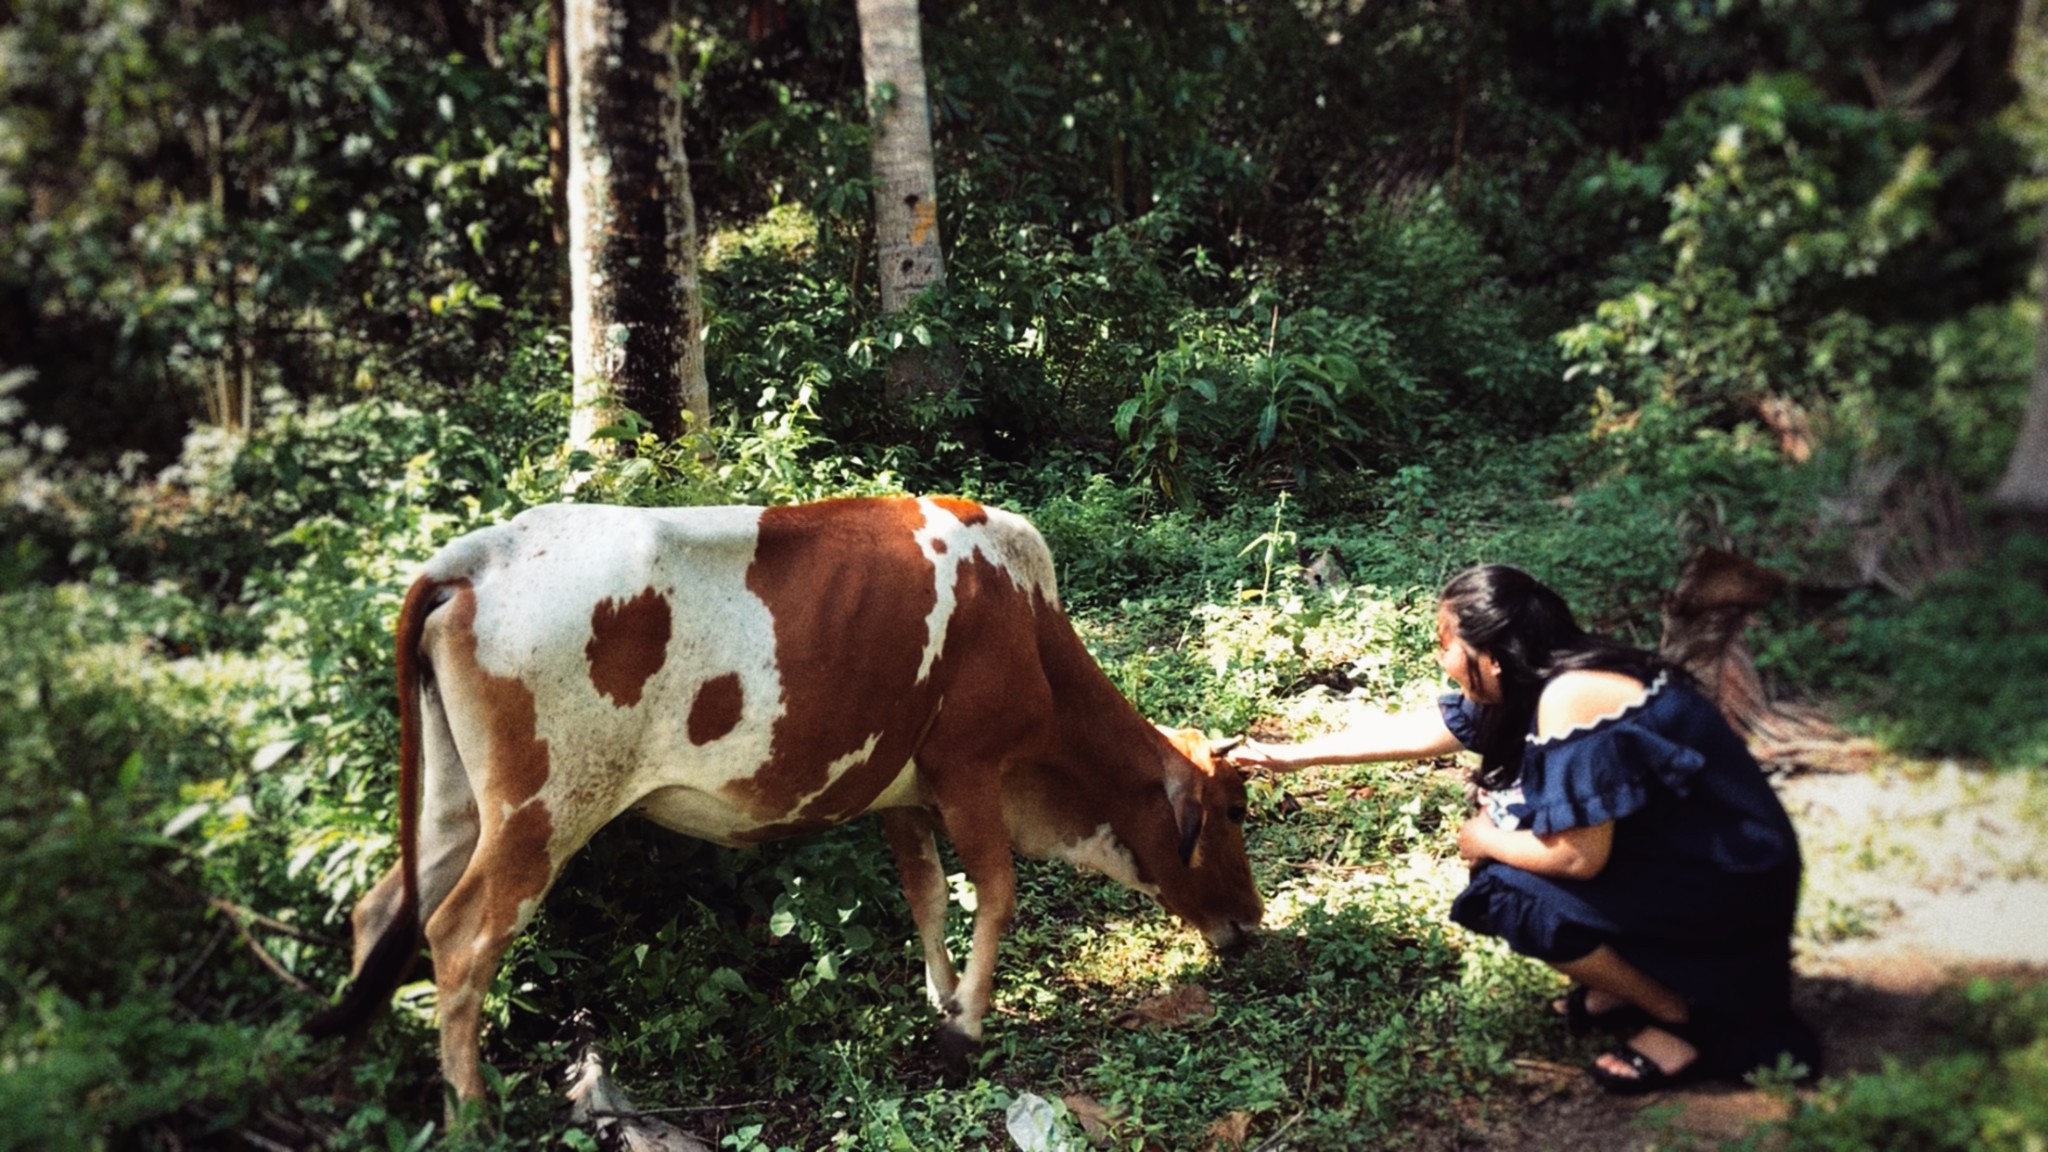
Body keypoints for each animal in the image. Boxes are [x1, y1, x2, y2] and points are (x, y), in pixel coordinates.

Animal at [303, 496, 1261, 1106]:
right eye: (1233, 815)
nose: (1252, 922)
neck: (1026, 622)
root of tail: (472, 557)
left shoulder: (903, 792)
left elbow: (925, 896)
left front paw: (940, 996)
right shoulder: (969, 771)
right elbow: (995, 892)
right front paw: (965, 1027)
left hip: (456, 806)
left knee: (378, 910)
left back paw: (357, 1081)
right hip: (544, 812)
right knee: (460, 940)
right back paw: (469, 1112)